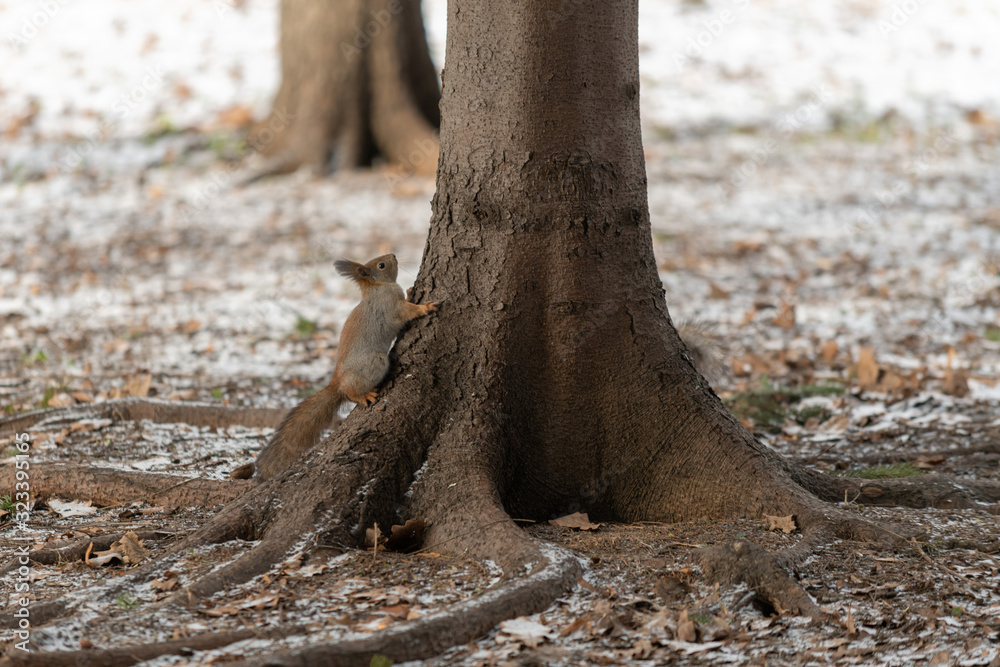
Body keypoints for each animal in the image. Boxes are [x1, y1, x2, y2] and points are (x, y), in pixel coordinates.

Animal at [249, 253, 439, 481]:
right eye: (381, 265)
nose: (393, 255)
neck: (377, 287)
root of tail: (337, 384)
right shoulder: (391, 306)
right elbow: (407, 311)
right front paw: (426, 307)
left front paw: (411, 291)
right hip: (374, 363)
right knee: (350, 391)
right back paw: (363, 396)